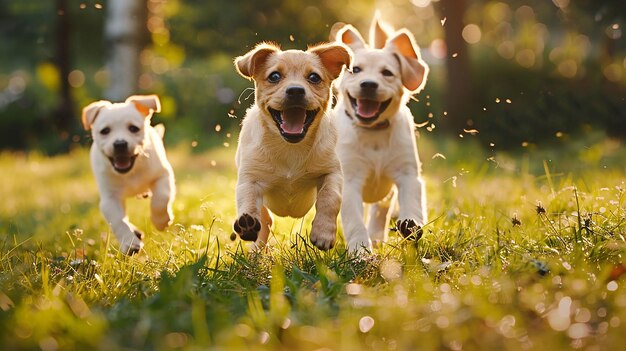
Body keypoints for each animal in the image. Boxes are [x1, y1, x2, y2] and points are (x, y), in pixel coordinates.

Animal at [81, 95, 176, 254]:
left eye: (133, 128)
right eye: (105, 131)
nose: (120, 144)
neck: (131, 172)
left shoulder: (162, 176)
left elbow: (161, 199)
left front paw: (161, 221)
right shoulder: (110, 199)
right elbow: (118, 221)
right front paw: (130, 243)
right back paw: (135, 232)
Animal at [233, 42, 352, 250]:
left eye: (314, 77)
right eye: (274, 76)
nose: (296, 90)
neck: (291, 148)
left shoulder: (332, 172)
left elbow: (330, 198)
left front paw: (323, 233)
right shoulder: (250, 178)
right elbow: (248, 202)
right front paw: (247, 223)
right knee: (265, 220)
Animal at [332, 17, 428, 253]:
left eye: (387, 73)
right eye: (355, 70)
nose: (368, 85)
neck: (372, 132)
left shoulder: (408, 174)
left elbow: (413, 202)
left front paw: (411, 224)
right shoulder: (349, 181)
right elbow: (355, 222)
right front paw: (360, 252)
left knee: (379, 212)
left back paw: (377, 237)